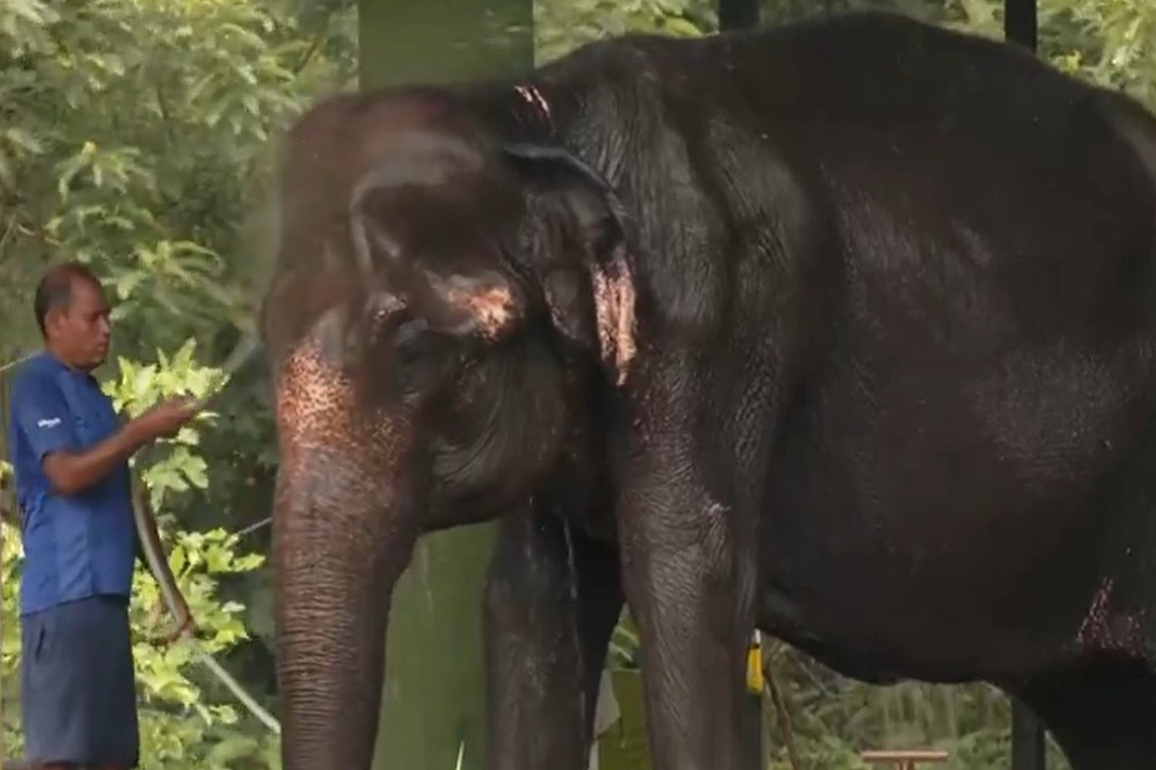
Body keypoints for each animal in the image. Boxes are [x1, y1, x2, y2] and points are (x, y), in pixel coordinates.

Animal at [259, 8, 1156, 770]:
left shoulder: (712, 315)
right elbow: (528, 602)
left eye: (418, 348)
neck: (533, 117)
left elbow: (689, 584)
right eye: (265, 339)